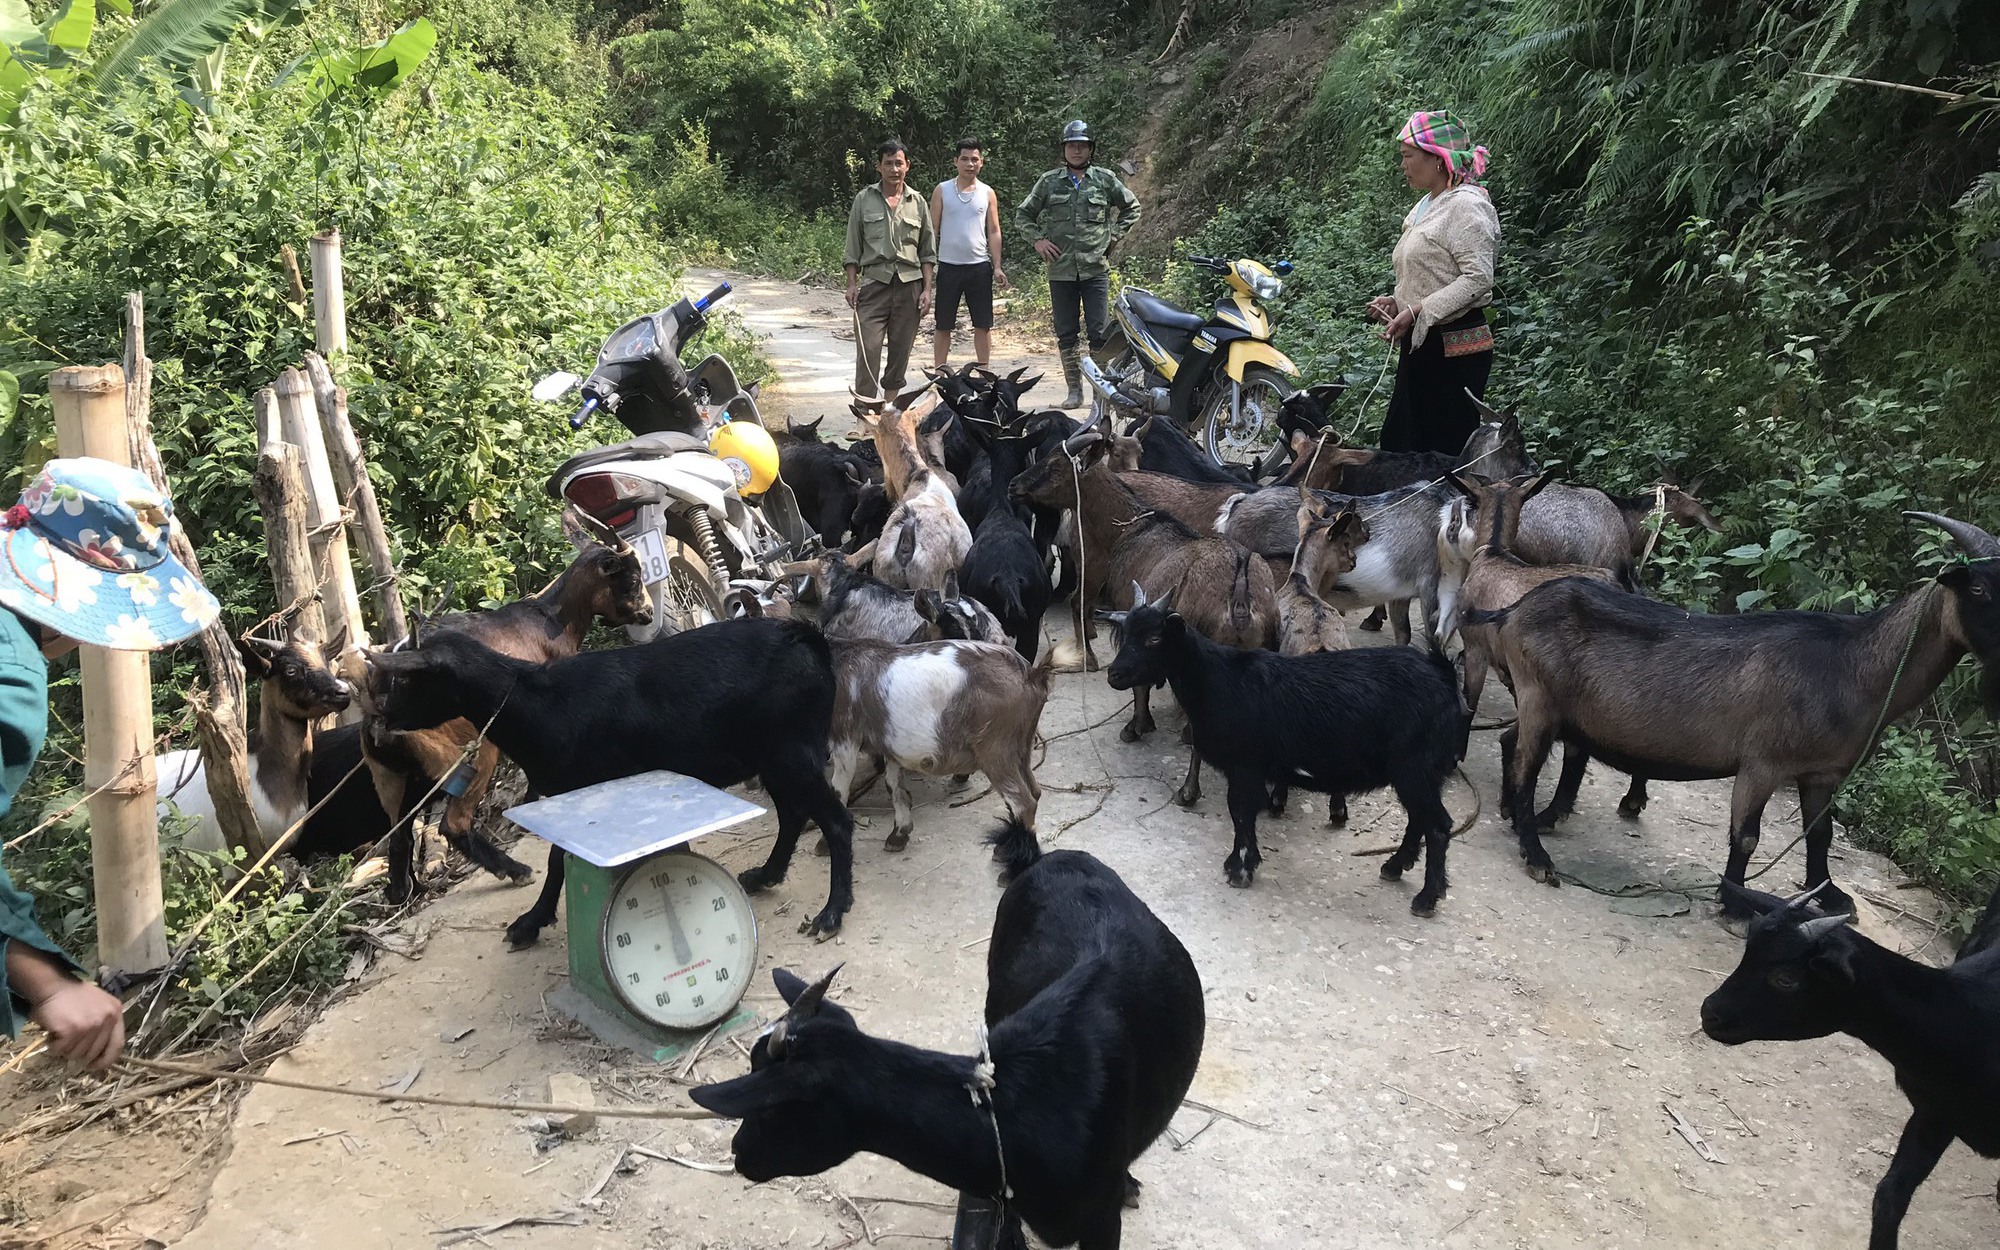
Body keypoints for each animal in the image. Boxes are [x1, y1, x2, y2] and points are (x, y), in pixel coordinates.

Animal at [364, 620, 856, 940]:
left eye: (406, 679)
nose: (380, 718)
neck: (537, 702)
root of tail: (807, 637)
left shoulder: (580, 791)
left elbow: (557, 862)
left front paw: (530, 922)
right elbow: (559, 860)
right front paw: (536, 918)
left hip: (792, 753)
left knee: (835, 821)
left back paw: (832, 912)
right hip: (775, 757)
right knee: (793, 814)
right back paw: (766, 876)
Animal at [1104, 584, 1464, 908]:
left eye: (1154, 638)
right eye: (1126, 633)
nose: (1114, 675)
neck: (1216, 679)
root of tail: (1444, 677)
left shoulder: (1245, 766)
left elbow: (1241, 813)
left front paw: (1240, 869)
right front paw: (1238, 864)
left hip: (1416, 766)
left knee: (1438, 826)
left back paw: (1426, 898)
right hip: (1417, 772)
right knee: (1418, 819)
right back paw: (1394, 866)